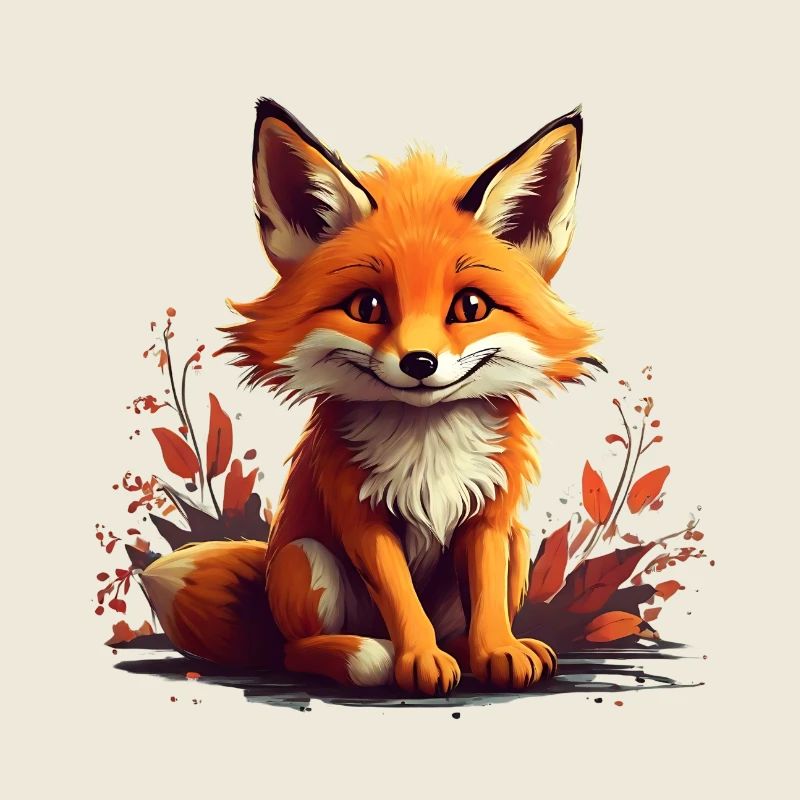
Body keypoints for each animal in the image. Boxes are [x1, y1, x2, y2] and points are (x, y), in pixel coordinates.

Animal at [140, 98, 600, 695]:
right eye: (368, 307)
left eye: (471, 307)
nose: (420, 363)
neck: (428, 445)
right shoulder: (360, 517)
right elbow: (403, 601)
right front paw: (418, 660)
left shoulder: (490, 517)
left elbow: (488, 603)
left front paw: (497, 651)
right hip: (306, 559)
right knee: (294, 652)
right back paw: (364, 654)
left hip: (518, 545)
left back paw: (469, 651)